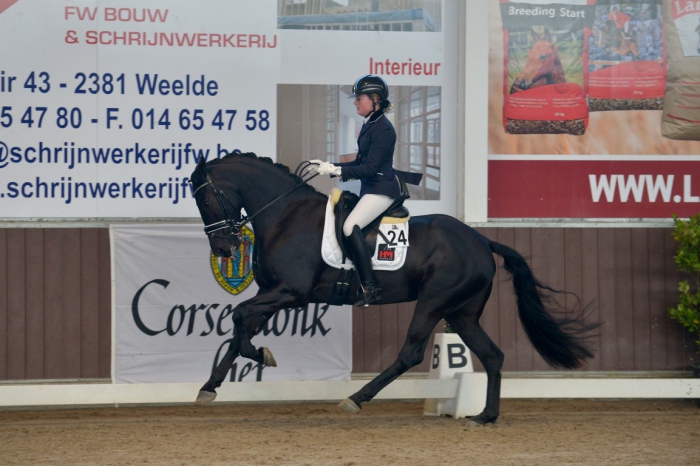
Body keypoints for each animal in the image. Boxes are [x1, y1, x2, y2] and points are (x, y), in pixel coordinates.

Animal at [189, 154, 600, 426]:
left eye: (205, 198)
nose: (224, 250)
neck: (286, 216)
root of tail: (482, 239)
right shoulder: (274, 295)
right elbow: (239, 328)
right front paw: (210, 387)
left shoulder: (291, 293)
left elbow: (238, 317)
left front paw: (262, 356)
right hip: (461, 312)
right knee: (493, 355)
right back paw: (485, 415)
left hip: (434, 302)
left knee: (411, 352)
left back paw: (356, 399)